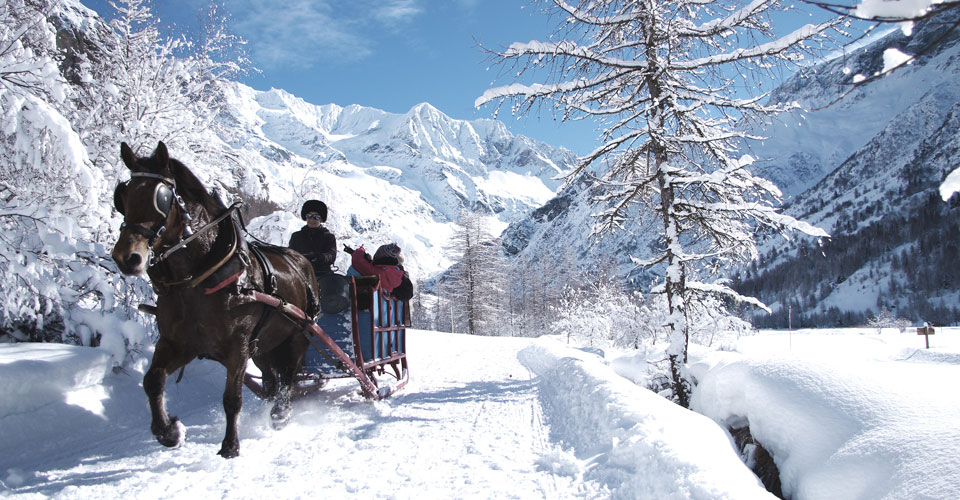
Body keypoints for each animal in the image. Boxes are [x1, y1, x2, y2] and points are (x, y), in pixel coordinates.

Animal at [109, 140, 318, 458]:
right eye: (124, 195)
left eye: (162, 197)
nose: (127, 257)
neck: (198, 279)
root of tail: (301, 261)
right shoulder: (177, 343)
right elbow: (152, 380)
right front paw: (169, 431)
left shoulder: (237, 347)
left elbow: (232, 398)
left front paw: (230, 445)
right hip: (265, 346)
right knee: (273, 378)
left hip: (298, 334)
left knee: (289, 376)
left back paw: (280, 413)